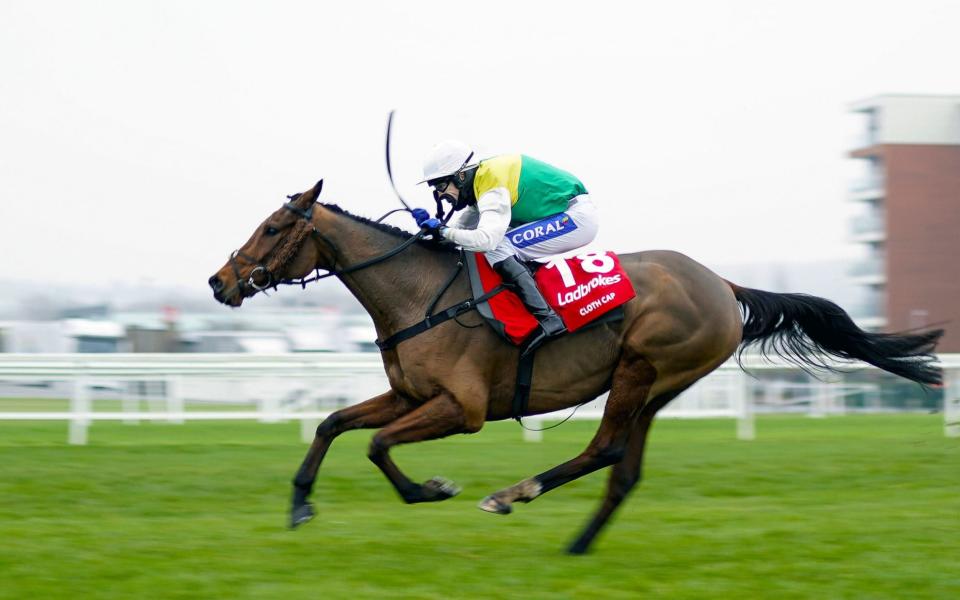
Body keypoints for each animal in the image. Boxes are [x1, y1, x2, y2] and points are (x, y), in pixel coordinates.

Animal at [208, 180, 936, 556]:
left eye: (273, 228)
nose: (220, 282)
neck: (419, 295)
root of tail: (722, 283)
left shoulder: (462, 409)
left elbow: (379, 445)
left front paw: (430, 489)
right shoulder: (409, 395)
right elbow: (332, 424)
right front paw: (300, 504)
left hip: (642, 367)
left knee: (604, 449)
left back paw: (513, 494)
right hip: (658, 386)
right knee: (624, 467)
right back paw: (578, 544)